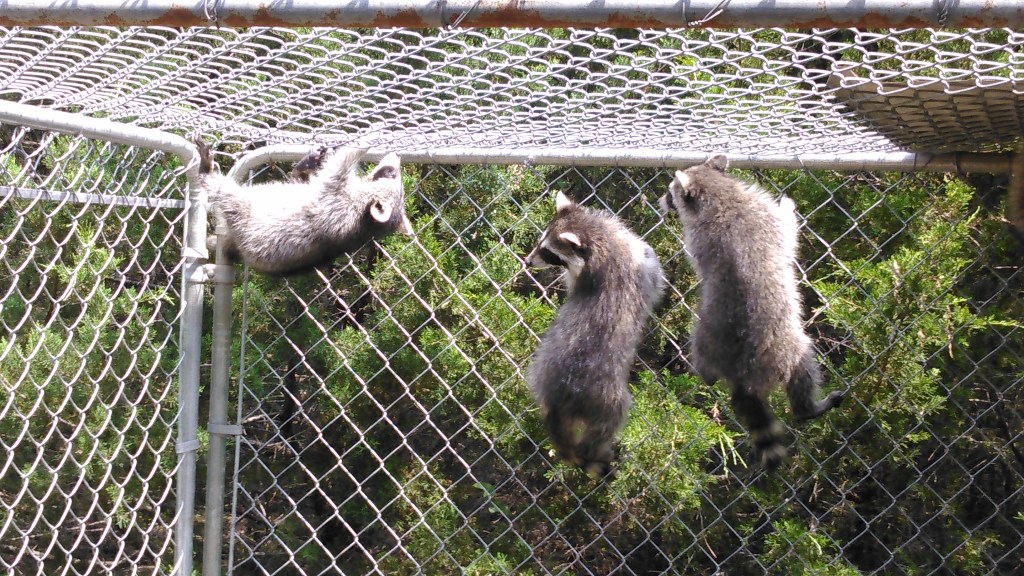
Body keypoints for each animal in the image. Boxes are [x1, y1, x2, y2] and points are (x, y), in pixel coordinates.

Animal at [194, 137, 413, 276]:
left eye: (391, 174)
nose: (397, 155)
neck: (366, 223)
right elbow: (308, 179)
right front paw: (308, 164)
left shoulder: (336, 203)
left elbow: (339, 166)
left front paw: (367, 139)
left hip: (245, 220)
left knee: (227, 195)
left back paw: (207, 172)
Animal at [525, 191, 665, 478]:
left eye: (547, 251)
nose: (528, 261)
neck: (600, 241)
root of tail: (559, 397)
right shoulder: (638, 263)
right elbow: (655, 275)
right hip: (603, 396)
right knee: (606, 424)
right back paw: (596, 453)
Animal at [658, 155, 844, 468]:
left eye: (670, 192)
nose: (661, 199)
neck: (718, 193)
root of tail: (740, 375)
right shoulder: (763, 218)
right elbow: (787, 233)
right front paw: (788, 208)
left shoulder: (697, 239)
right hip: (784, 349)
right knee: (803, 367)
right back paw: (808, 408)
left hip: (705, 340)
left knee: (703, 360)